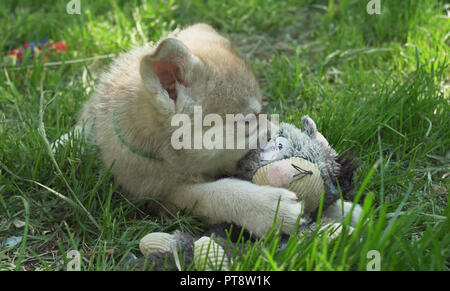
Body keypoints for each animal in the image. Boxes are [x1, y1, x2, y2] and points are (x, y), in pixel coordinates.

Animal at [54, 24, 304, 238]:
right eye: (248, 120)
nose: (280, 135)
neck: (163, 154)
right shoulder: (163, 194)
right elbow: (216, 193)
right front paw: (270, 208)